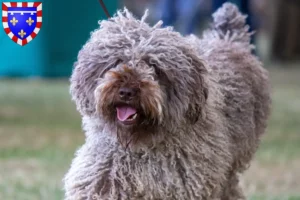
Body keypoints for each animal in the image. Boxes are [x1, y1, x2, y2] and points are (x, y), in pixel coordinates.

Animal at [64, 3, 270, 200]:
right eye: (117, 61)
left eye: (154, 67)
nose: (127, 91)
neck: (141, 147)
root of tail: (227, 39)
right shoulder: (103, 176)